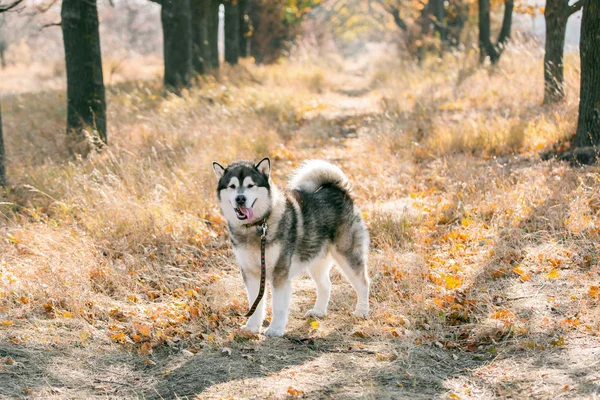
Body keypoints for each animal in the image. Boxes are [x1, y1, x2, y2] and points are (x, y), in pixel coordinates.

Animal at [211, 158, 370, 336]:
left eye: (250, 185)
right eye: (232, 186)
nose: (240, 198)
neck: (258, 225)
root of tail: (339, 190)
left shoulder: (279, 273)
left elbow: (278, 306)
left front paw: (275, 329)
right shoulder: (250, 272)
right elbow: (255, 303)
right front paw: (252, 327)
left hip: (347, 255)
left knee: (363, 283)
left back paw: (362, 311)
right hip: (315, 260)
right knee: (326, 285)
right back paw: (318, 311)